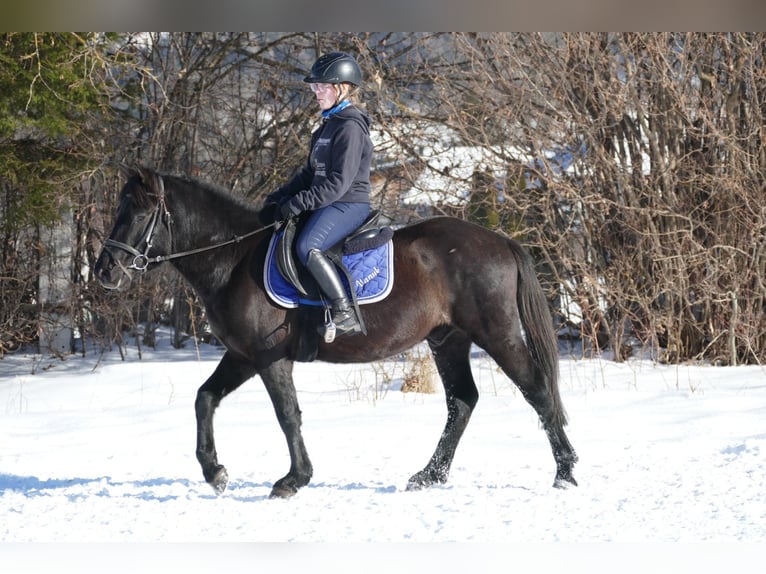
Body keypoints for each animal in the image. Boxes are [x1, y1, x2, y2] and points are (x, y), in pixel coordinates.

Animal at [94, 166, 576, 500]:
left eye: (139, 213)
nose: (104, 272)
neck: (233, 258)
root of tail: (500, 242)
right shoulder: (243, 355)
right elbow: (204, 398)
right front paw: (215, 473)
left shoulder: (269, 358)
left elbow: (287, 415)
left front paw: (293, 480)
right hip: (447, 340)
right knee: (462, 402)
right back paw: (428, 475)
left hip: (496, 334)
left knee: (537, 391)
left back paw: (565, 472)